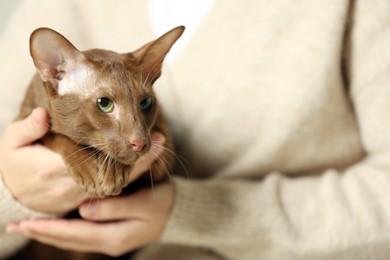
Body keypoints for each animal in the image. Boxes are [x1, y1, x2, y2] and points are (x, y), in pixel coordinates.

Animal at [16, 25, 184, 197]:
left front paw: (113, 172)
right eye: (104, 103)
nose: (140, 143)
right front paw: (88, 171)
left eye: (145, 103)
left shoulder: (165, 149)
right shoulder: (26, 116)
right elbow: (58, 137)